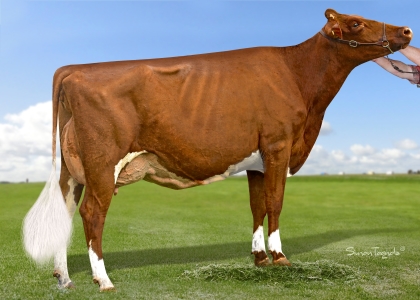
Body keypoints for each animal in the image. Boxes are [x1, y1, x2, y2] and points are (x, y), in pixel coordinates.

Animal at [22, 8, 410, 290]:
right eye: (356, 22)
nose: (406, 31)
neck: (298, 77)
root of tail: (75, 70)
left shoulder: (256, 159)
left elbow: (257, 206)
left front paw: (259, 259)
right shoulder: (279, 144)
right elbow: (276, 202)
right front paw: (280, 257)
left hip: (72, 171)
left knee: (65, 212)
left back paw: (64, 277)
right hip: (103, 163)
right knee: (92, 213)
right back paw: (103, 279)